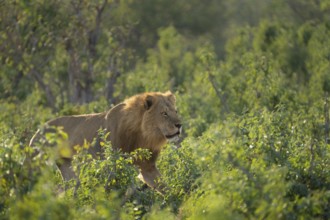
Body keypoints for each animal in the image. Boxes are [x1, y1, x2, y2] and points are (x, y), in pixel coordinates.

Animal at [28, 91, 182, 194]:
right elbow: (112, 189)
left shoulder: (147, 166)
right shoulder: (111, 165)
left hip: (66, 165)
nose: (179, 125)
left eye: (175, 111)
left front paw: (178, 202)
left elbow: (165, 188)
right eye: (164, 113)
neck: (143, 135)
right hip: (36, 164)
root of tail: (38, 129)